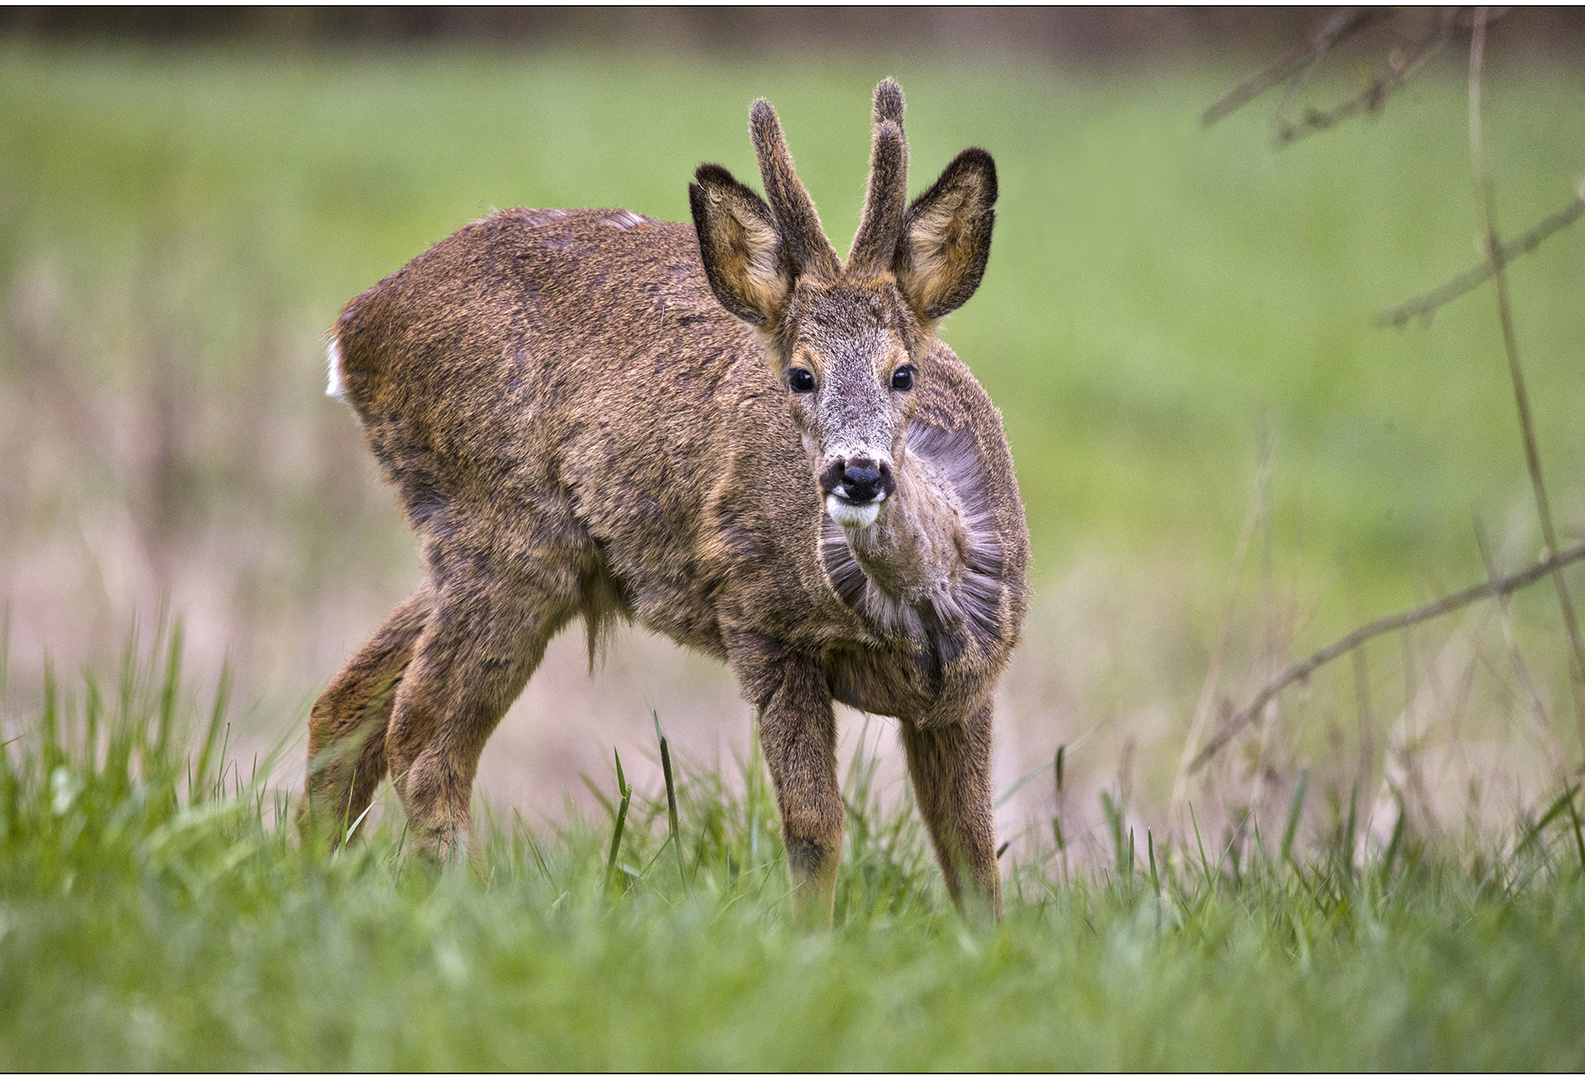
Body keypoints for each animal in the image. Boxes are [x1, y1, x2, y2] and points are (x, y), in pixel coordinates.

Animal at [304, 80, 1033, 919]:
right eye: (800, 375)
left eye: (903, 372)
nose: (857, 474)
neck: (912, 615)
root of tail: (354, 327)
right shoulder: (760, 620)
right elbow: (815, 828)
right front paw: (809, 937)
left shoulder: (967, 688)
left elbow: (971, 853)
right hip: (505, 536)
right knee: (423, 740)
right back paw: (468, 906)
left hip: (495, 546)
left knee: (346, 704)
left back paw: (313, 874)